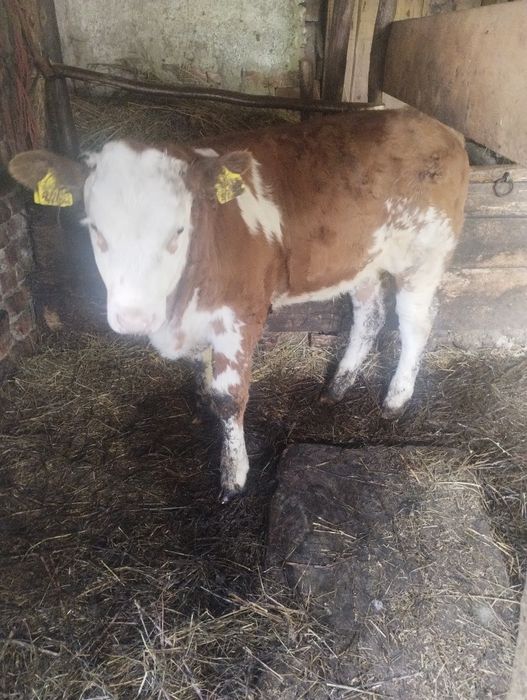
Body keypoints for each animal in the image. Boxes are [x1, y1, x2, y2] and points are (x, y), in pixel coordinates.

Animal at [9, 108, 470, 502]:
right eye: (95, 230)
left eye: (179, 229)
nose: (134, 317)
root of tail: (437, 126)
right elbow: (202, 371)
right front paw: (200, 403)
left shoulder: (240, 316)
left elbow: (230, 398)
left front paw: (234, 476)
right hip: (360, 261)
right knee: (370, 316)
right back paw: (337, 386)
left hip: (425, 255)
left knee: (415, 323)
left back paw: (396, 398)